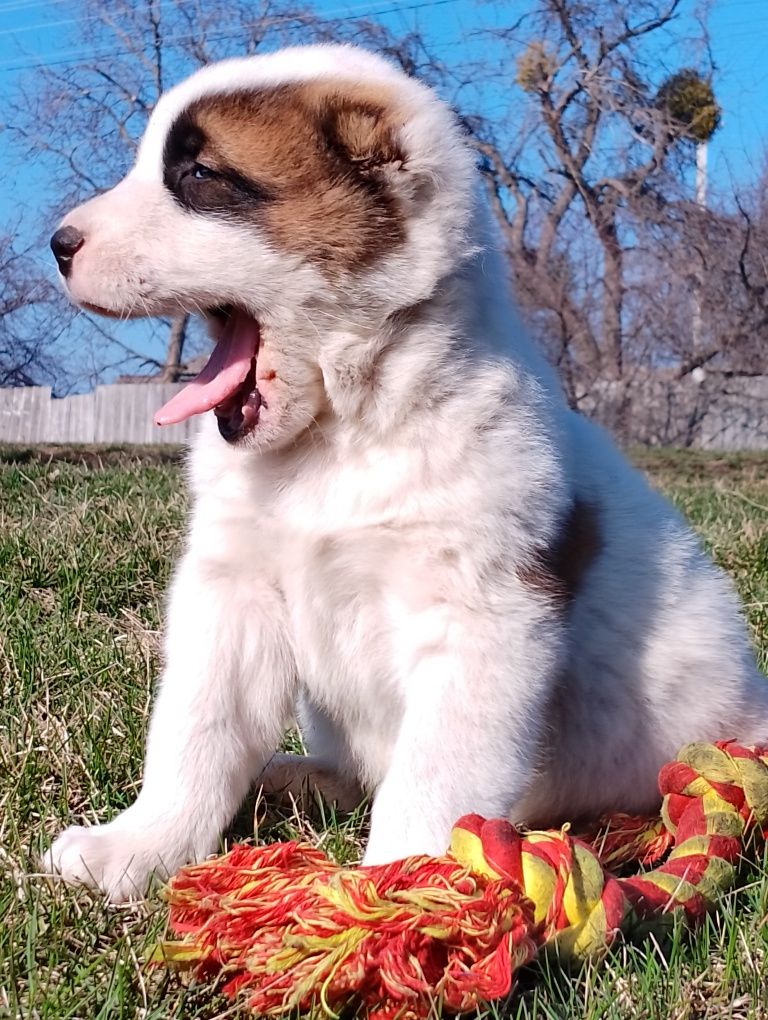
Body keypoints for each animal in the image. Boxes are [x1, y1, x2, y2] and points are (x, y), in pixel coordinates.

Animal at [44, 43, 762, 901]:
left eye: (200, 175)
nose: (58, 243)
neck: (345, 432)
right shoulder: (232, 594)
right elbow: (196, 728)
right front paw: (139, 844)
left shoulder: (480, 623)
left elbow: (434, 773)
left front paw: (397, 892)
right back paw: (296, 778)